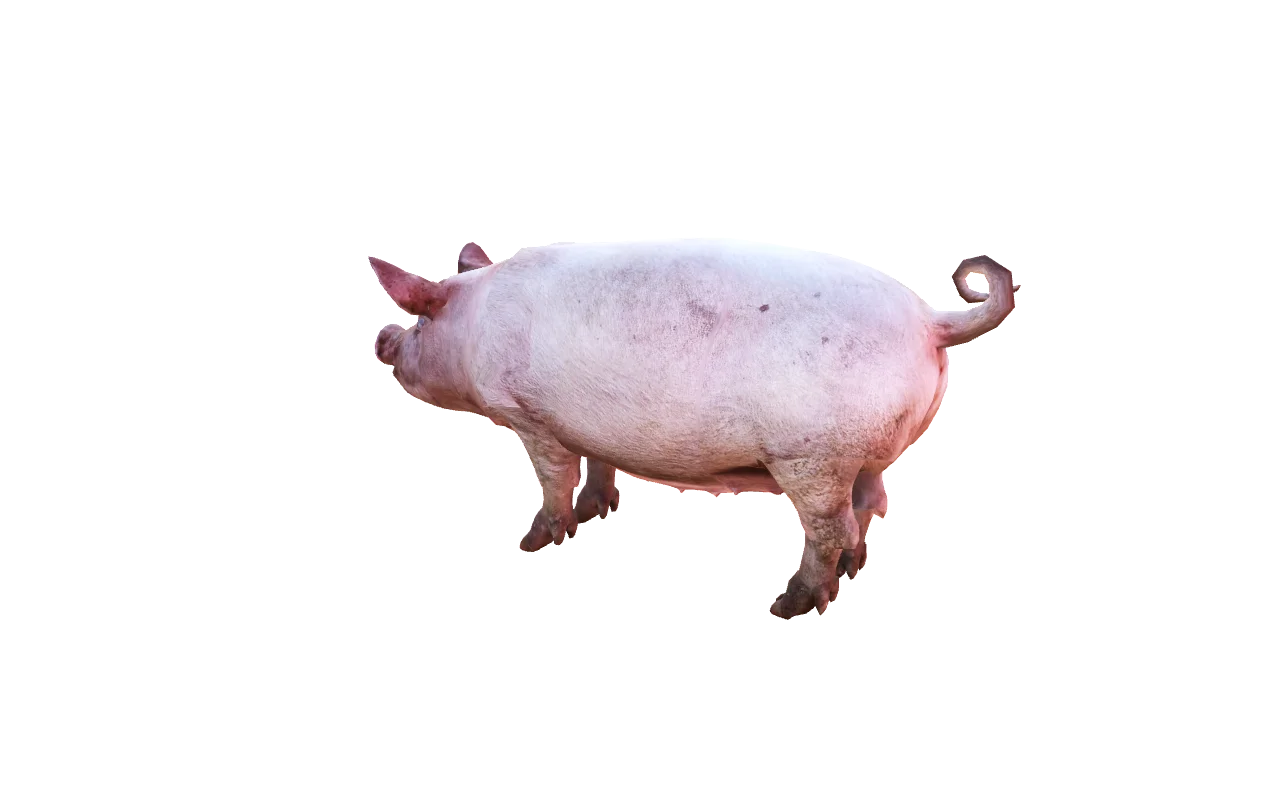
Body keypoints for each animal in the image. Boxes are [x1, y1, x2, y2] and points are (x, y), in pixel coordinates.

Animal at [370, 241, 1019, 618]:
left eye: (419, 320)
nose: (382, 337)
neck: (475, 324)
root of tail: (933, 320)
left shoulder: (532, 418)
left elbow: (553, 482)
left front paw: (530, 545)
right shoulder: (589, 425)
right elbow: (598, 467)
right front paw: (594, 513)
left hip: (813, 454)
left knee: (829, 528)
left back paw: (789, 606)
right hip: (863, 453)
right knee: (869, 506)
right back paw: (847, 576)